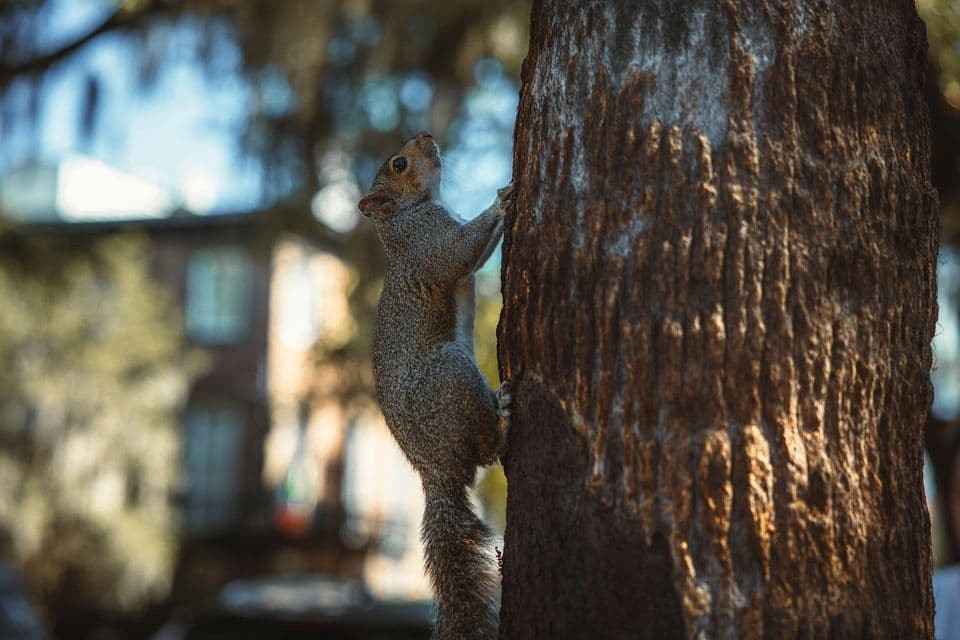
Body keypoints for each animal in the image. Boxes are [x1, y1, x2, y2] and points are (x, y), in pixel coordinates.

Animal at [358, 131, 512, 640]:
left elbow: (470, 255)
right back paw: (502, 418)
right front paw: (505, 198)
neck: (400, 218)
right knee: (484, 451)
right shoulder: (427, 239)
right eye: (399, 164)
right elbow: (459, 253)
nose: (427, 136)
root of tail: (434, 470)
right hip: (450, 375)